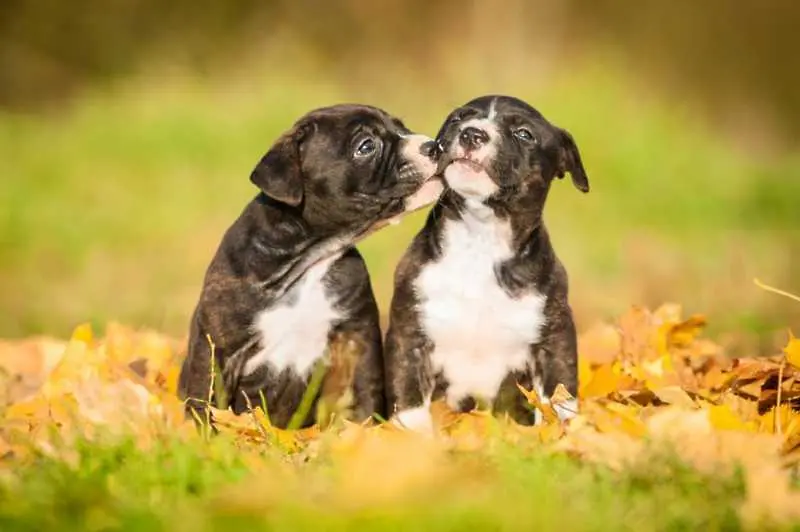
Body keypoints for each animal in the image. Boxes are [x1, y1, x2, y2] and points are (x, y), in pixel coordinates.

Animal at [178, 103, 444, 428]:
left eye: (401, 127)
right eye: (366, 146)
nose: (433, 146)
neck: (308, 259)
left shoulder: (356, 339)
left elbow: (364, 393)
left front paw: (364, 433)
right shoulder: (215, 349)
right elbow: (205, 398)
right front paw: (203, 434)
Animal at [384, 94, 592, 428]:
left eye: (524, 134)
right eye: (458, 119)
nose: (472, 133)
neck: (480, 238)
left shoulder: (554, 340)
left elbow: (558, 396)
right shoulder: (410, 337)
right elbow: (409, 400)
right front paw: (412, 437)